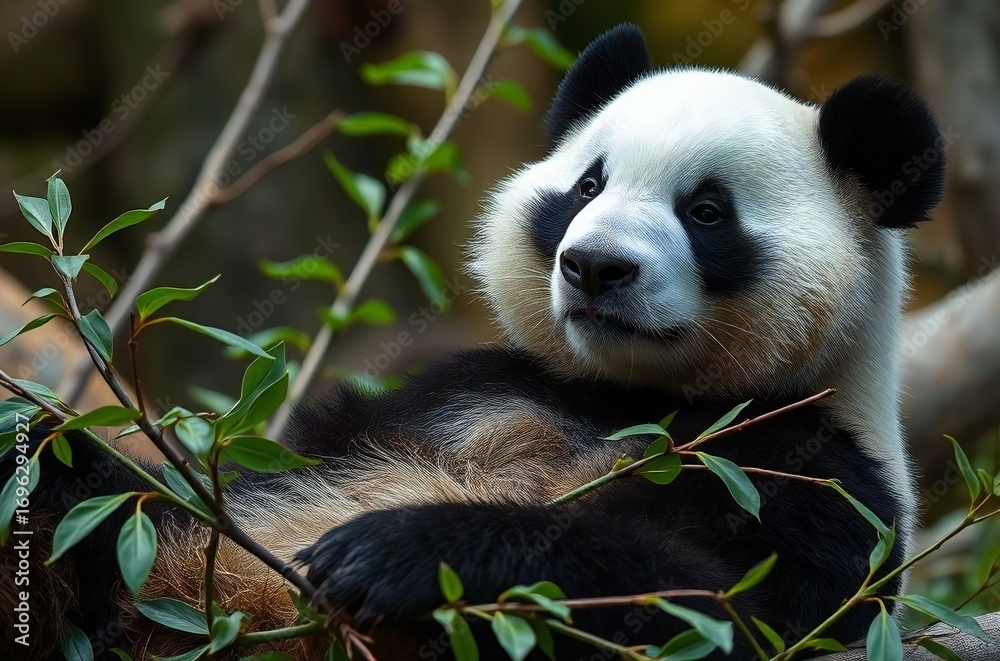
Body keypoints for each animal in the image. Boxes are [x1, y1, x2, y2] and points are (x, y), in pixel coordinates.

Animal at [1, 23, 946, 661]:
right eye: (588, 185)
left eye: (707, 210)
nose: (595, 266)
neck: (633, 393)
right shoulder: (450, 393)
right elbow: (221, 485)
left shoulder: (821, 481)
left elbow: (718, 607)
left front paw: (395, 551)